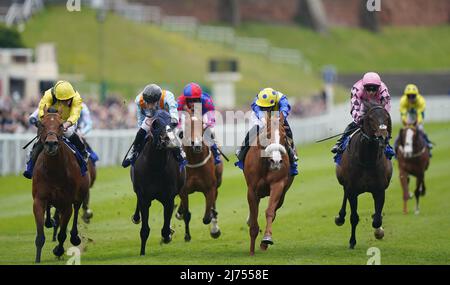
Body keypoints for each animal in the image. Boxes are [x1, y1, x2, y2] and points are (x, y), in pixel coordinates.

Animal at [31, 106, 90, 262]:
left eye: (60, 125)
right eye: (42, 124)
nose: (51, 144)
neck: (54, 171)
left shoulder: (67, 203)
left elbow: (62, 234)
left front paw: (58, 250)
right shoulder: (39, 200)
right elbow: (40, 236)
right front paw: (37, 259)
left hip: (79, 195)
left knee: (76, 210)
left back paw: (74, 237)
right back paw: (49, 221)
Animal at [128, 110, 185, 254]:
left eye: (172, 125)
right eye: (157, 126)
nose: (169, 140)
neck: (155, 167)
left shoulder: (168, 198)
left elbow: (165, 229)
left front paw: (168, 235)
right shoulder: (144, 197)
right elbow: (144, 230)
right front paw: (142, 252)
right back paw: (136, 217)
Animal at [177, 106, 224, 240]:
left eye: (202, 124)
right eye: (187, 124)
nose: (196, 144)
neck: (195, 161)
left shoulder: (210, 189)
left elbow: (207, 216)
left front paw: (214, 229)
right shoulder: (183, 190)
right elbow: (187, 214)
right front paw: (187, 236)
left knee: (214, 204)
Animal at [244, 110, 294, 254]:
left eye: (284, 136)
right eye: (267, 135)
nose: (276, 161)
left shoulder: (278, 185)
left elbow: (270, 211)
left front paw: (266, 239)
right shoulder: (252, 189)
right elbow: (254, 219)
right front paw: (251, 251)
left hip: (283, 194)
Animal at [334, 101, 394, 247]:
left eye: (386, 117)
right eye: (371, 118)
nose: (382, 136)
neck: (367, 160)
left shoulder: (379, 190)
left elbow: (377, 220)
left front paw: (378, 231)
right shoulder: (352, 190)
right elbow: (354, 217)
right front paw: (352, 241)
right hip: (345, 183)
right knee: (344, 194)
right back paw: (340, 217)